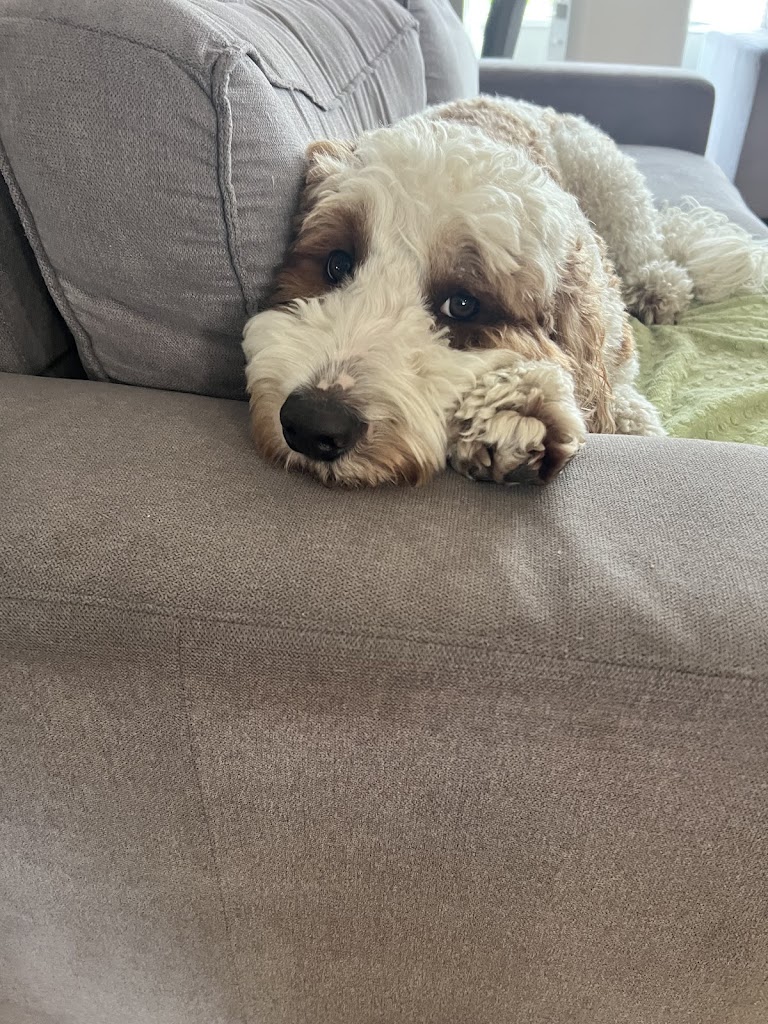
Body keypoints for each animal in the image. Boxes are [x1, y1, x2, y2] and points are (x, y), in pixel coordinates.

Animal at [242, 97, 767, 487]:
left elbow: (626, 413)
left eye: (462, 304)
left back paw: (659, 288)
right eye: (337, 264)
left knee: (649, 247)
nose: (313, 423)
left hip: (613, 190)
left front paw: (515, 409)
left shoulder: (619, 385)